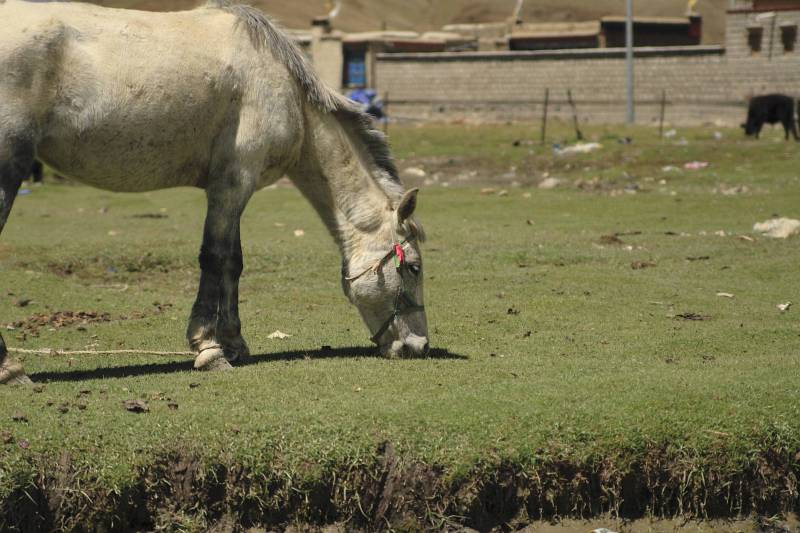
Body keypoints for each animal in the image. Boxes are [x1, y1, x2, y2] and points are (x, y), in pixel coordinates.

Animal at [0, 0, 432, 382]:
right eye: (413, 267)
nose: (419, 347)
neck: (284, 91)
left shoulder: (232, 187)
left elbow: (233, 263)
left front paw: (234, 343)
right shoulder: (234, 182)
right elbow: (215, 258)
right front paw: (208, 350)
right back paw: (11, 368)